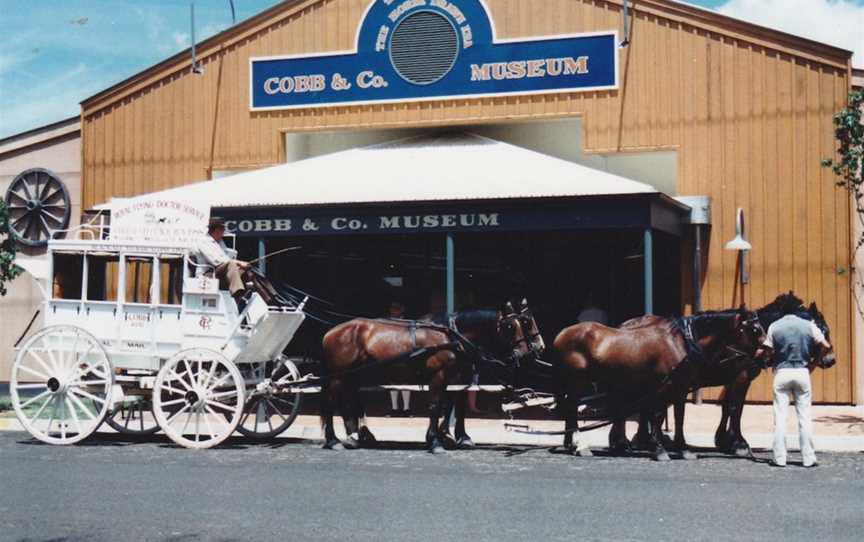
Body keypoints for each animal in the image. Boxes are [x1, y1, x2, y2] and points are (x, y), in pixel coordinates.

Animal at [320, 302, 544, 454]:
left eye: (523, 323)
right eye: (510, 326)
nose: (528, 352)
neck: (451, 336)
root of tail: (330, 332)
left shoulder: (453, 377)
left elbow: (450, 404)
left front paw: (449, 436)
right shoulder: (439, 376)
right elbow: (436, 406)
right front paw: (436, 441)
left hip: (352, 375)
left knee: (348, 401)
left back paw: (355, 436)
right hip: (339, 376)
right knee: (331, 402)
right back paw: (334, 440)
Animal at [552, 308, 768, 462]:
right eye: (755, 329)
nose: (768, 353)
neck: (682, 342)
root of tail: (562, 334)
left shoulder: (681, 386)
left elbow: (679, 417)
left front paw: (683, 448)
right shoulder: (666, 385)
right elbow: (657, 415)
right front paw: (659, 449)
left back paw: (576, 444)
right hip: (577, 380)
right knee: (573, 408)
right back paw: (581, 445)